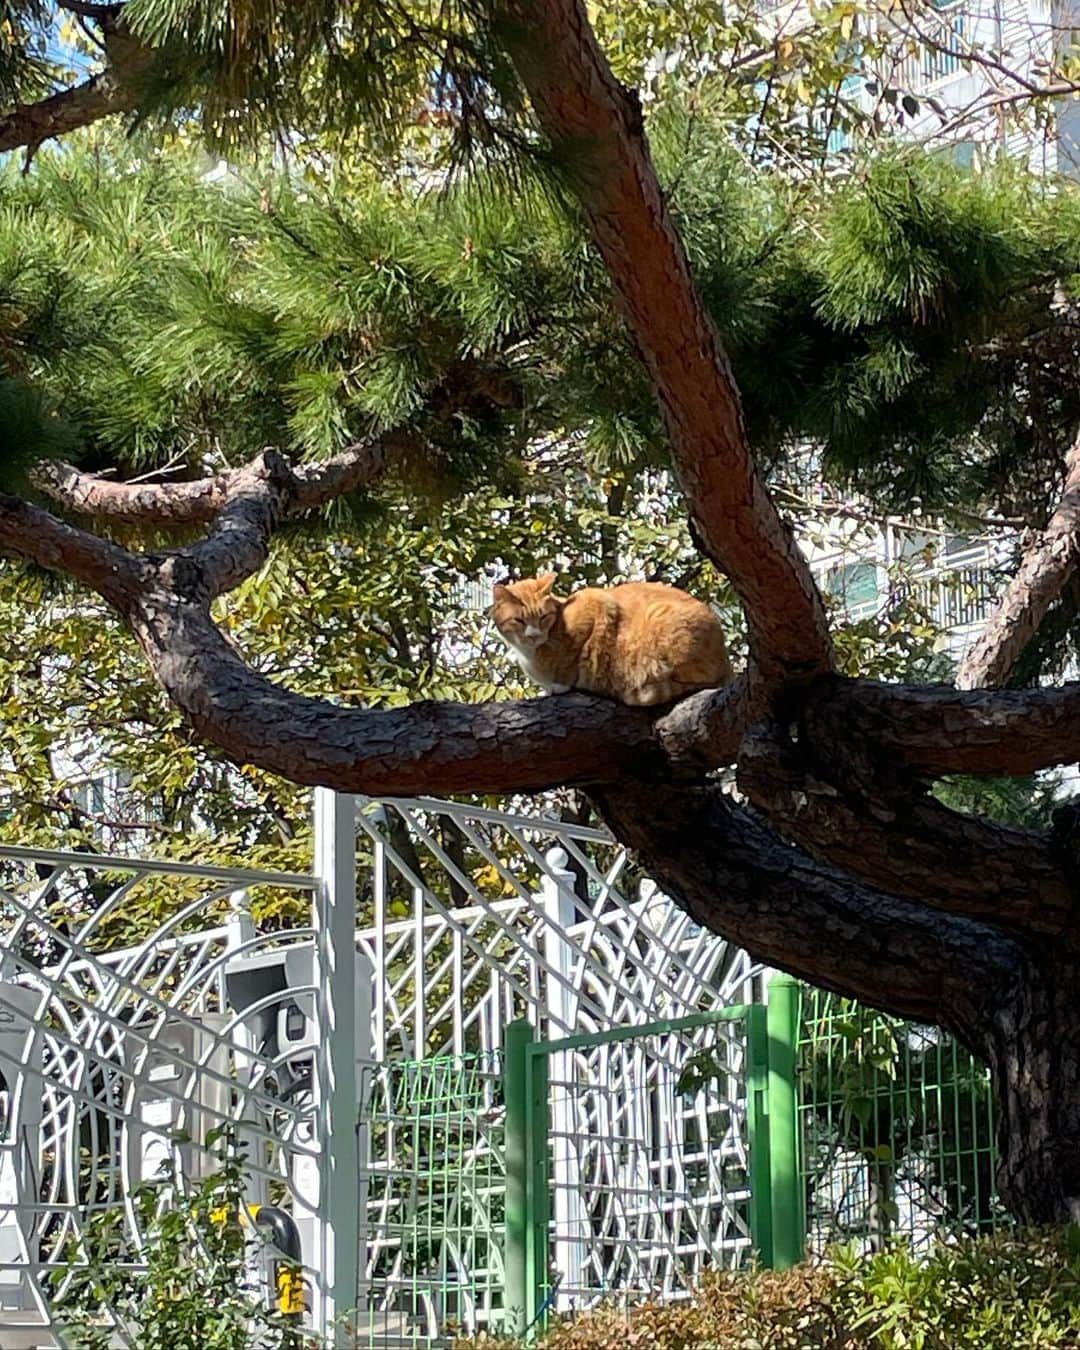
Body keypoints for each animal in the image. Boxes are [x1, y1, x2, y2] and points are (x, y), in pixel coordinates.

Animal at [491, 575, 734, 712]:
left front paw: (560, 685)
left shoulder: (596, 603)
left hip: (661, 620)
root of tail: (726, 664)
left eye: (543, 617)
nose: (533, 635)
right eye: (519, 621)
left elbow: (572, 661)